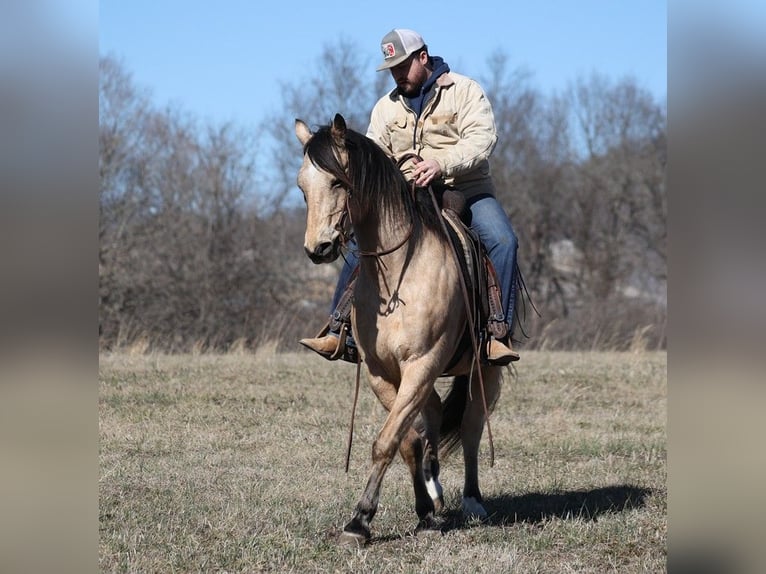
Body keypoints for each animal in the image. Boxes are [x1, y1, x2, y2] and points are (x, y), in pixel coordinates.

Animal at [296, 113, 508, 548]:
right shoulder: (381, 372)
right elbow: (406, 440)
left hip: (485, 372)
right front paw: (424, 511)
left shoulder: (421, 365)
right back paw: (435, 488)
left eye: (338, 182)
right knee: (434, 416)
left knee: (471, 429)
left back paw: (473, 501)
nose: (318, 248)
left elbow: (386, 442)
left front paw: (358, 521)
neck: (398, 275)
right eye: (302, 187)